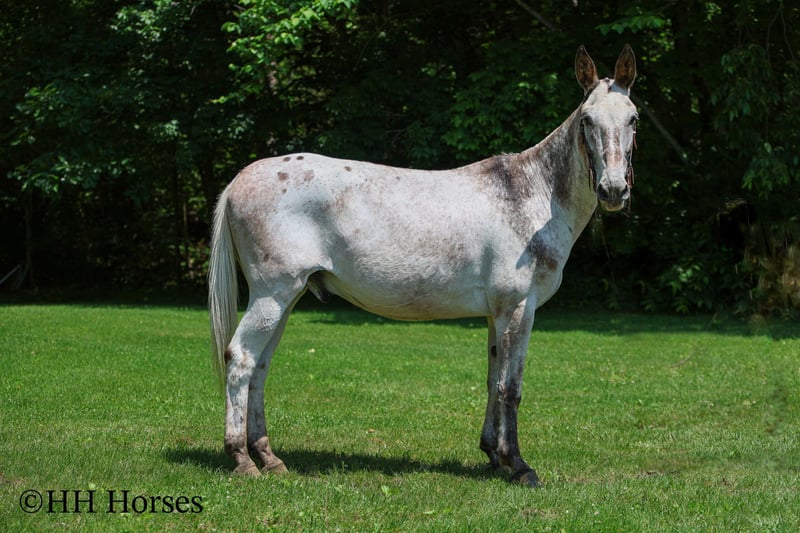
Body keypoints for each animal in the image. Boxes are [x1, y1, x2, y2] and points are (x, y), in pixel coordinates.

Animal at [208, 45, 638, 487]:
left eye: (633, 118)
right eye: (587, 120)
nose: (613, 190)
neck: (531, 195)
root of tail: (241, 178)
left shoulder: (496, 313)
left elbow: (492, 380)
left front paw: (493, 454)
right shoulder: (519, 308)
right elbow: (510, 387)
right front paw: (518, 465)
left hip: (285, 300)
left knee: (260, 366)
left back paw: (268, 457)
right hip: (272, 296)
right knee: (241, 359)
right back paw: (241, 458)